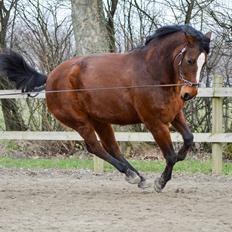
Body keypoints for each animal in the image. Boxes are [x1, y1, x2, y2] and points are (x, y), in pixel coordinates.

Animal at [0, 24, 210, 192]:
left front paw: (181, 156)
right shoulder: (154, 123)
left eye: (204, 62)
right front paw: (161, 182)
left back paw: (138, 177)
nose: (189, 93)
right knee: (95, 147)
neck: (153, 74)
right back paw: (132, 175)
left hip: (100, 121)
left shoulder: (175, 115)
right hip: (81, 122)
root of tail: (51, 77)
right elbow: (170, 156)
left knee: (112, 148)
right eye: (190, 60)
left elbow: (189, 139)